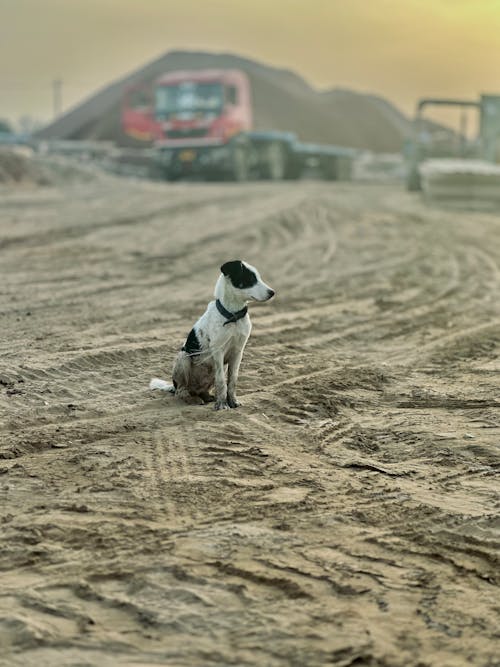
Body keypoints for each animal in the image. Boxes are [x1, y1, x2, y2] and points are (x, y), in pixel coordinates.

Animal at [150, 260, 276, 408]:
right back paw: (192, 399)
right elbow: (221, 381)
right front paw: (222, 405)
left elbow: (232, 380)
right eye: (250, 279)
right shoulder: (218, 351)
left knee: (202, 389)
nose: (272, 292)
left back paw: (206, 396)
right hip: (183, 358)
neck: (233, 317)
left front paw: (232, 401)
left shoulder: (238, 352)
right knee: (181, 391)